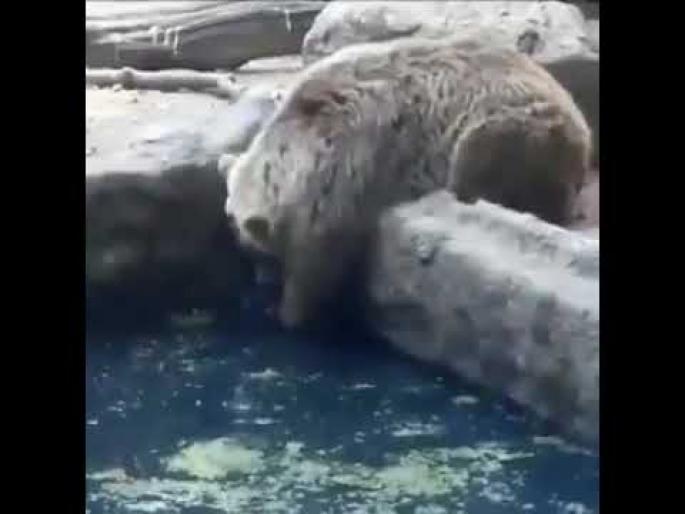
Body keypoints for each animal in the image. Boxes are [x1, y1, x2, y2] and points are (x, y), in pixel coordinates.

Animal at [224, 35, 592, 328]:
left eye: (258, 252)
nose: (259, 280)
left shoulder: (349, 162)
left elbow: (322, 251)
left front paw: (292, 311)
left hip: (508, 126)